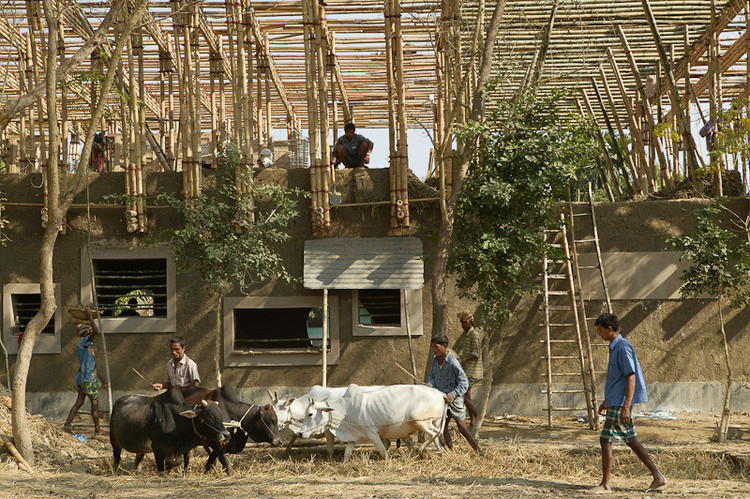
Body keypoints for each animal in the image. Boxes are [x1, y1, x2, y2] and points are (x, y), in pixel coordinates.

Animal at [296, 384, 446, 462]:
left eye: (310, 414)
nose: (300, 433)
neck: (346, 409)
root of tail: (439, 393)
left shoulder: (372, 434)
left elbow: (383, 450)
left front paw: (389, 462)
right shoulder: (353, 436)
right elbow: (347, 453)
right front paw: (344, 465)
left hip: (421, 421)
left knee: (435, 433)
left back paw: (422, 449)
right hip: (433, 422)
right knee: (436, 438)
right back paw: (441, 454)